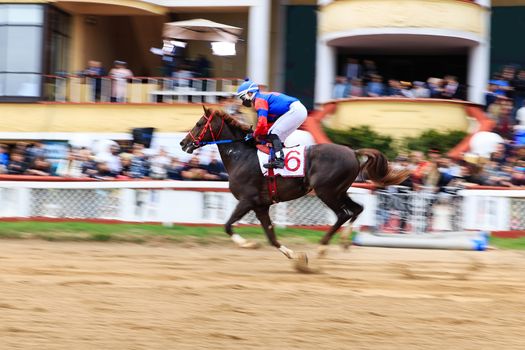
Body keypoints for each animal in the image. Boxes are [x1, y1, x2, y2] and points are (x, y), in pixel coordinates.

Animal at [181, 108, 410, 264]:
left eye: (200, 123)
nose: (183, 143)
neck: (241, 156)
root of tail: (353, 152)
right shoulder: (261, 205)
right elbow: (271, 236)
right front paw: (294, 255)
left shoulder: (247, 200)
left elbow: (228, 225)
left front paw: (248, 243)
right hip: (340, 190)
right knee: (357, 209)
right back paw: (345, 241)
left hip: (326, 191)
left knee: (343, 214)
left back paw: (323, 248)